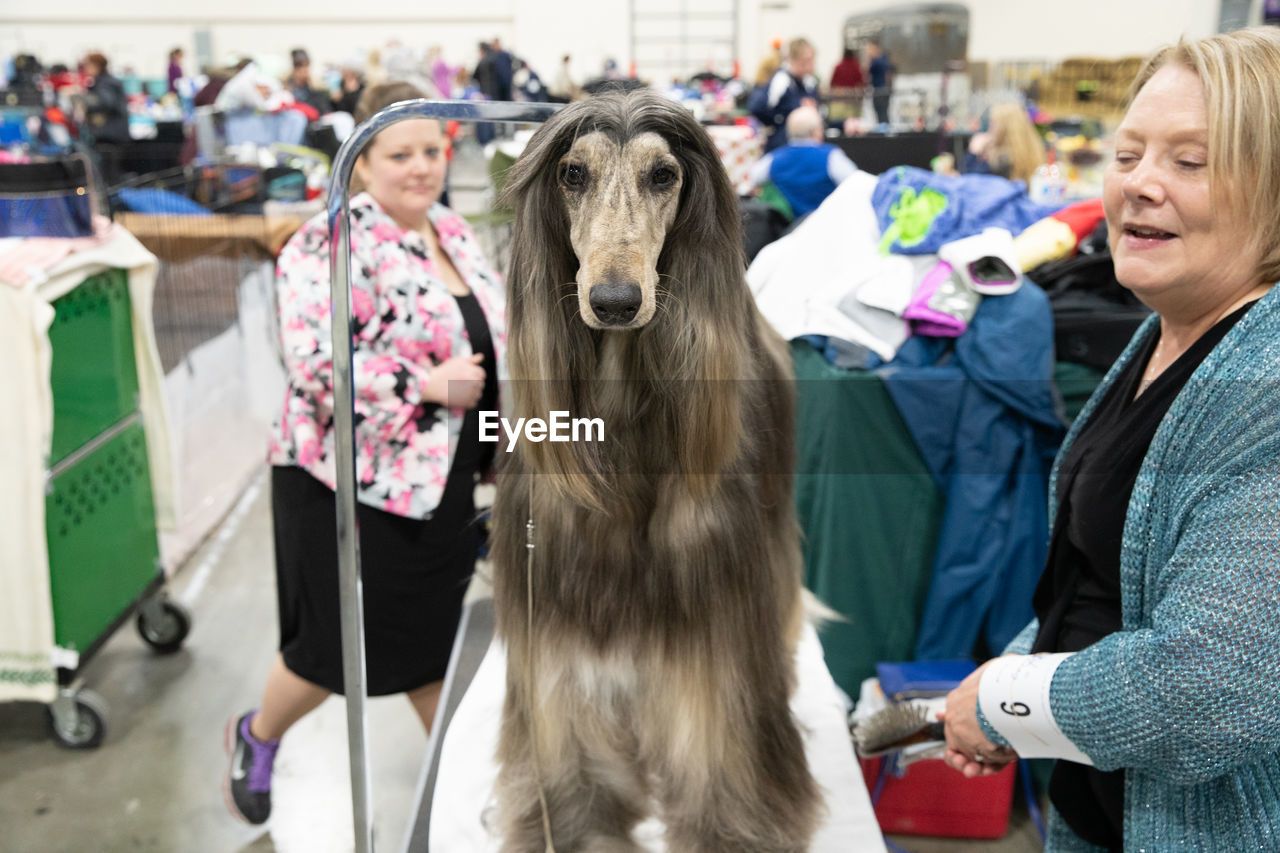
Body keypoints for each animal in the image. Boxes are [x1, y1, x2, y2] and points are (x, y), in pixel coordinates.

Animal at [488, 91, 819, 850]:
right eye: (572, 173)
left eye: (664, 175)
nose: (615, 301)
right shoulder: (556, 619)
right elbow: (570, 753)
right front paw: (577, 825)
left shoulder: (715, 622)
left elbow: (720, 741)